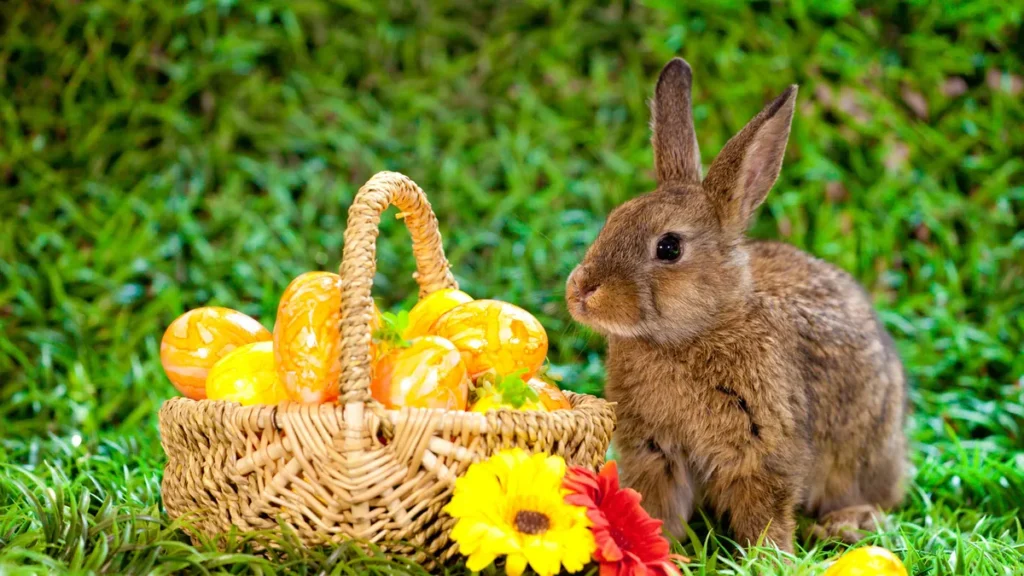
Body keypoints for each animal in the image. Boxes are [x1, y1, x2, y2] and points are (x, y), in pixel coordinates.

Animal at [565, 58, 908, 553]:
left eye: (669, 247)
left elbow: (764, 514)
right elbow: (660, 504)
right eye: (613, 219)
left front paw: (769, 558)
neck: (694, 334)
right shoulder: (654, 451)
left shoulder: (763, 449)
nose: (581, 291)